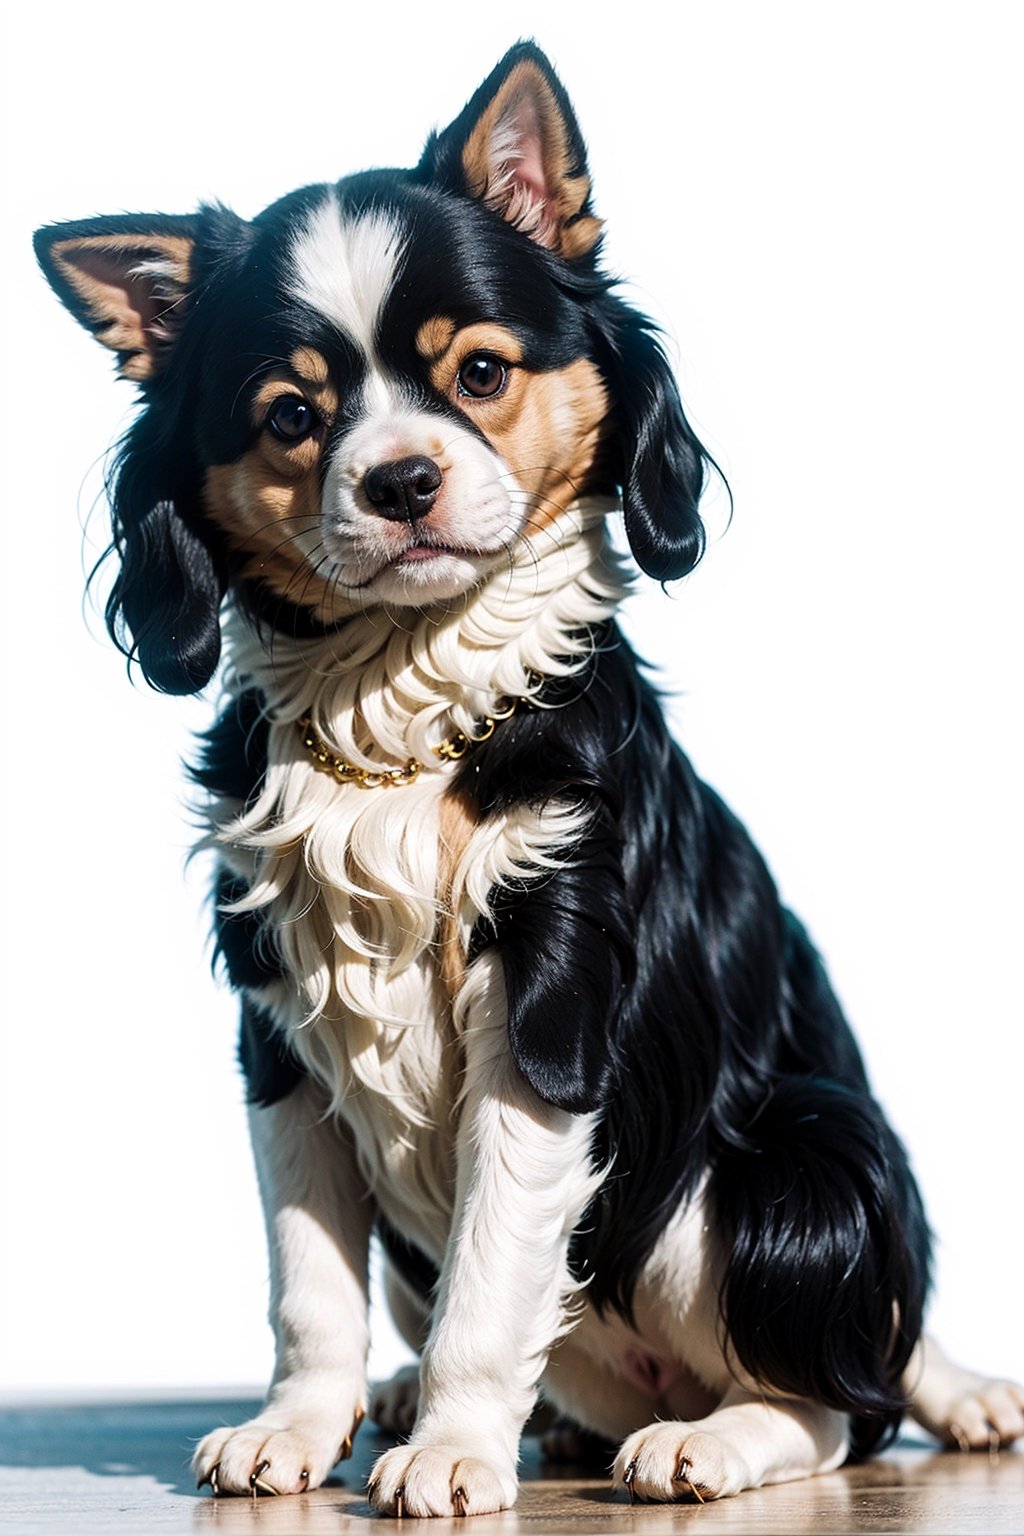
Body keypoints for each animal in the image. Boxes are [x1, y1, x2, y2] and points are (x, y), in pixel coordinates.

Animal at [36, 42, 1019, 1517]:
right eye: (291, 416)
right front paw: (303, 1425)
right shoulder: (276, 1022)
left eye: (482, 371)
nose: (398, 480)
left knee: (847, 1395)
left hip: (777, 1164)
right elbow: (307, 1281)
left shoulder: (551, 1002)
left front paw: (451, 1448)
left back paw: (723, 1438)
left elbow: (496, 1272)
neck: (397, 716)